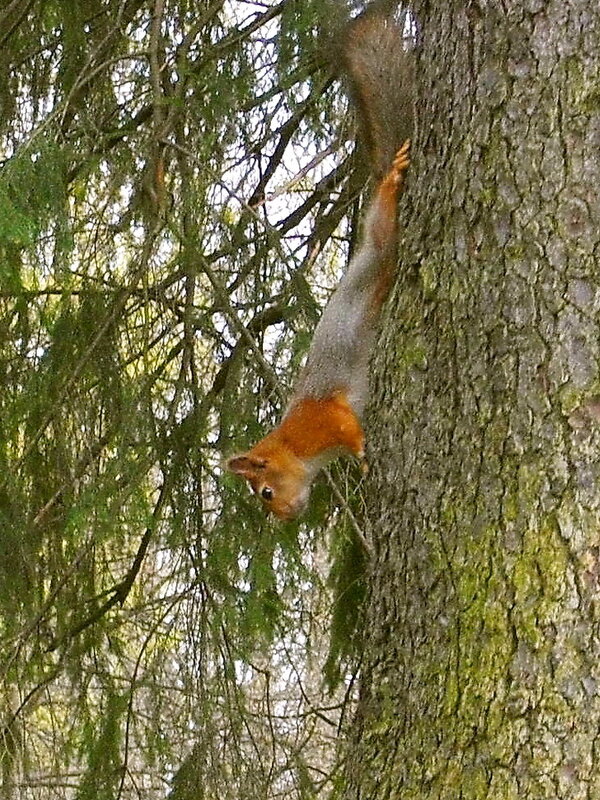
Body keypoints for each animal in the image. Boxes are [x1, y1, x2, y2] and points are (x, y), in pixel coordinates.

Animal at [227, 4, 414, 520]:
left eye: (265, 492)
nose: (283, 519)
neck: (294, 442)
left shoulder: (326, 417)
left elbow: (351, 429)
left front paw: (364, 457)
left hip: (378, 244)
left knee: (384, 222)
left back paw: (391, 180)